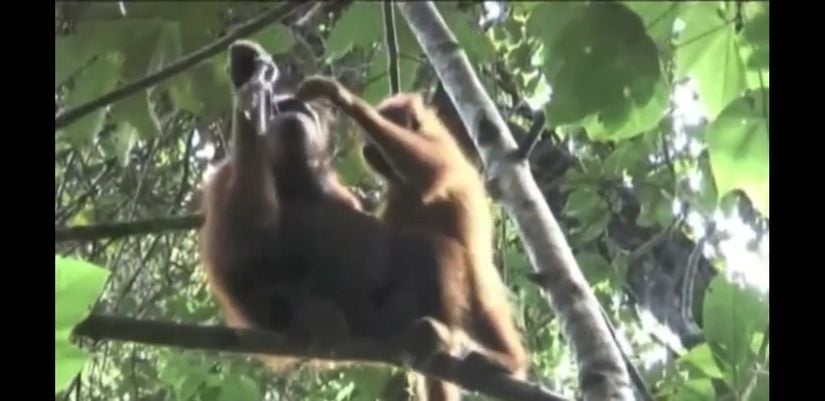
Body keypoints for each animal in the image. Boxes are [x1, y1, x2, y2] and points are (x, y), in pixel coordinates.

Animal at [296, 76, 529, 401]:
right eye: (374, 151)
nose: (370, 150)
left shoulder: (443, 147)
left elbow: (431, 171)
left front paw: (341, 98)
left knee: (448, 261)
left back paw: (498, 356)